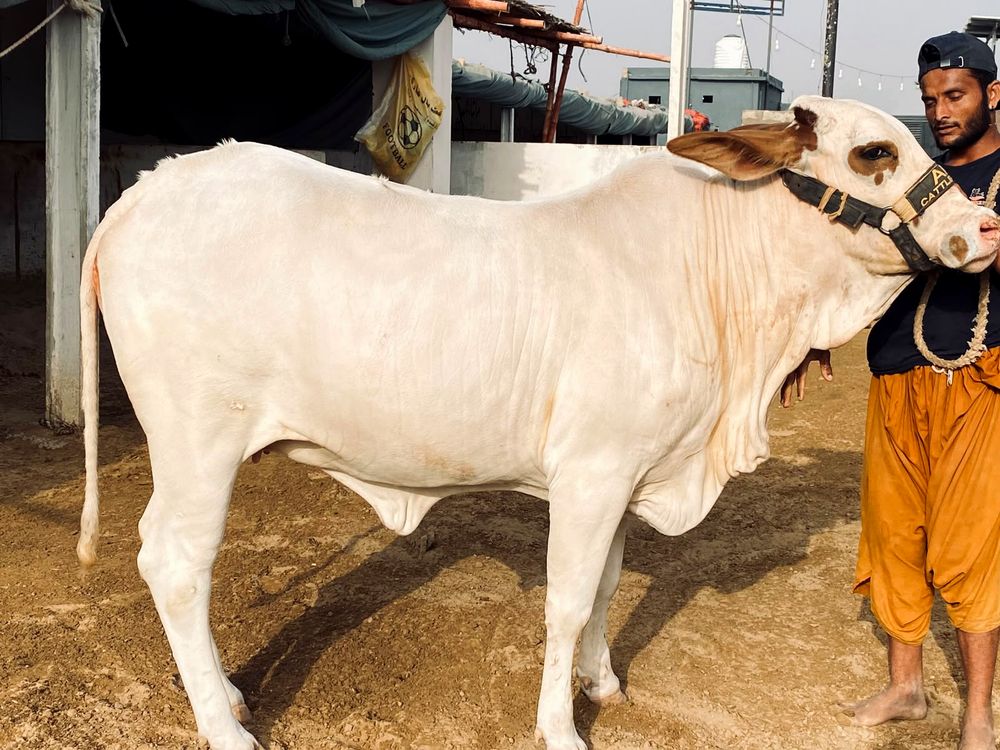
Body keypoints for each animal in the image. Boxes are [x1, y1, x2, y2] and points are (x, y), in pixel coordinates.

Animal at [77, 95, 1000, 750]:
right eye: (875, 152)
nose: (985, 224)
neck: (715, 267)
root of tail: (142, 194)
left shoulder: (626, 474)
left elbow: (605, 589)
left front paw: (604, 685)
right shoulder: (590, 474)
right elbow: (566, 600)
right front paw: (559, 727)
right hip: (198, 445)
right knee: (175, 565)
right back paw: (223, 724)